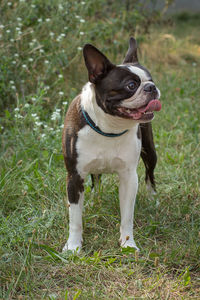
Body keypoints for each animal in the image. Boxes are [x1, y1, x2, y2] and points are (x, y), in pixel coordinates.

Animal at [62, 38, 161, 253]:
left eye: (151, 80)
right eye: (131, 85)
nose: (151, 87)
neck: (109, 128)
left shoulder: (129, 177)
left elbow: (127, 216)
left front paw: (128, 243)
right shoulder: (74, 176)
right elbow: (75, 219)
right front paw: (73, 246)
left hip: (150, 152)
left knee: (150, 175)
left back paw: (152, 198)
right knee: (96, 179)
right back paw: (93, 199)